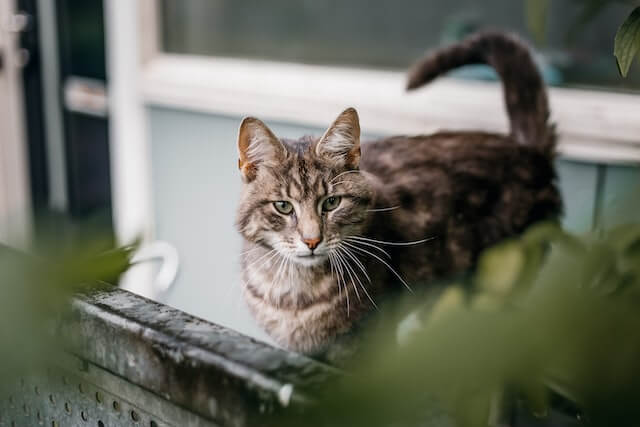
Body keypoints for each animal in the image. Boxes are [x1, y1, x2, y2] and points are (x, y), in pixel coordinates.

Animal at [234, 31, 560, 356]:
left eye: (331, 202)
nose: (312, 241)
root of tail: (528, 149)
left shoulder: (366, 344)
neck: (293, 288)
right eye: (283, 206)